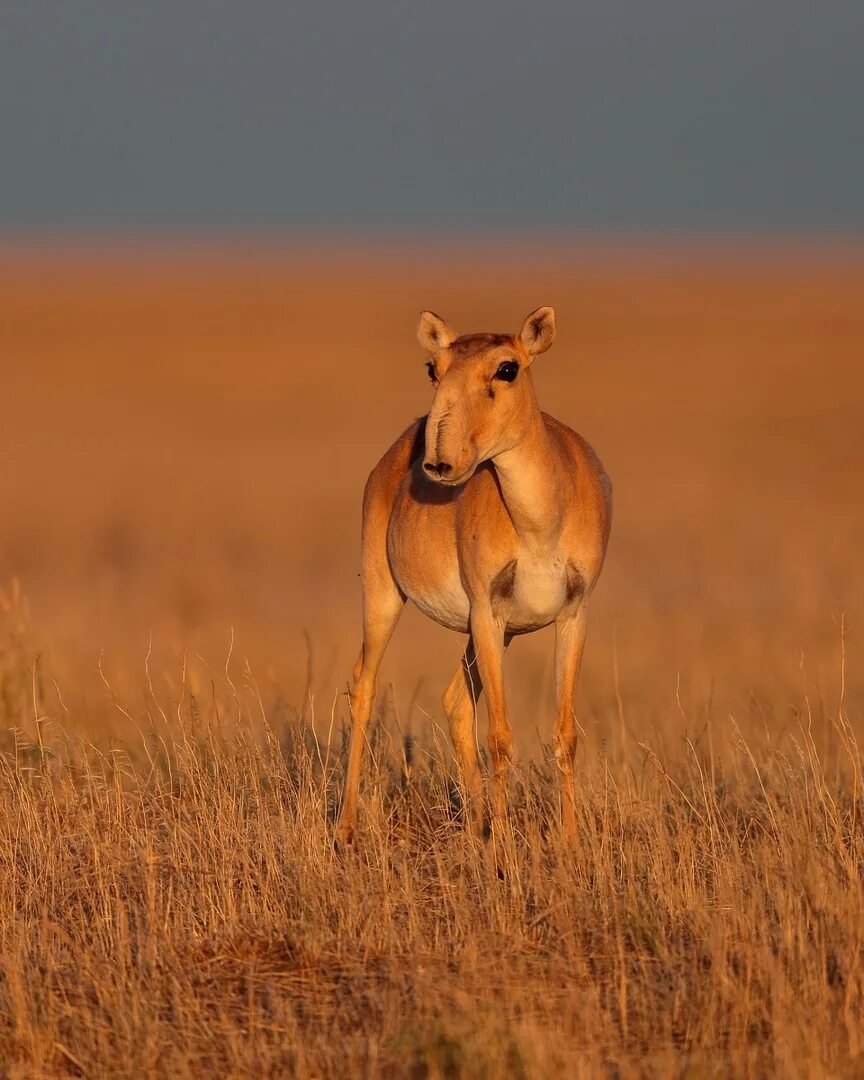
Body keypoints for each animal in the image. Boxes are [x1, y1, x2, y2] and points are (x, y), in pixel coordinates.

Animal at [336, 306, 613, 842]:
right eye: (433, 368)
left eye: (508, 367)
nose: (439, 462)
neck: (541, 525)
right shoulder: (488, 613)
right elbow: (500, 737)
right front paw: (504, 847)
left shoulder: (573, 615)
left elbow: (565, 734)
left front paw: (569, 843)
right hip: (385, 598)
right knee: (363, 687)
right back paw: (345, 828)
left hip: (491, 634)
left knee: (455, 703)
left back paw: (476, 826)